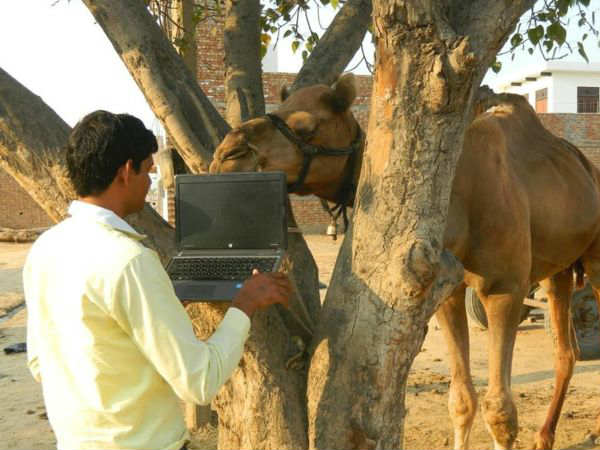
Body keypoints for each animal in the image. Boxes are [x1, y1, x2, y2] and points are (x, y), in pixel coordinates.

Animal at [209, 74, 600, 450]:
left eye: (306, 126)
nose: (227, 154)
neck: (460, 195)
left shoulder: (504, 287)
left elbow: (500, 410)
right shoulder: (449, 289)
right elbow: (461, 400)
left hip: (594, 259)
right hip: (558, 268)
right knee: (565, 350)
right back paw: (543, 438)